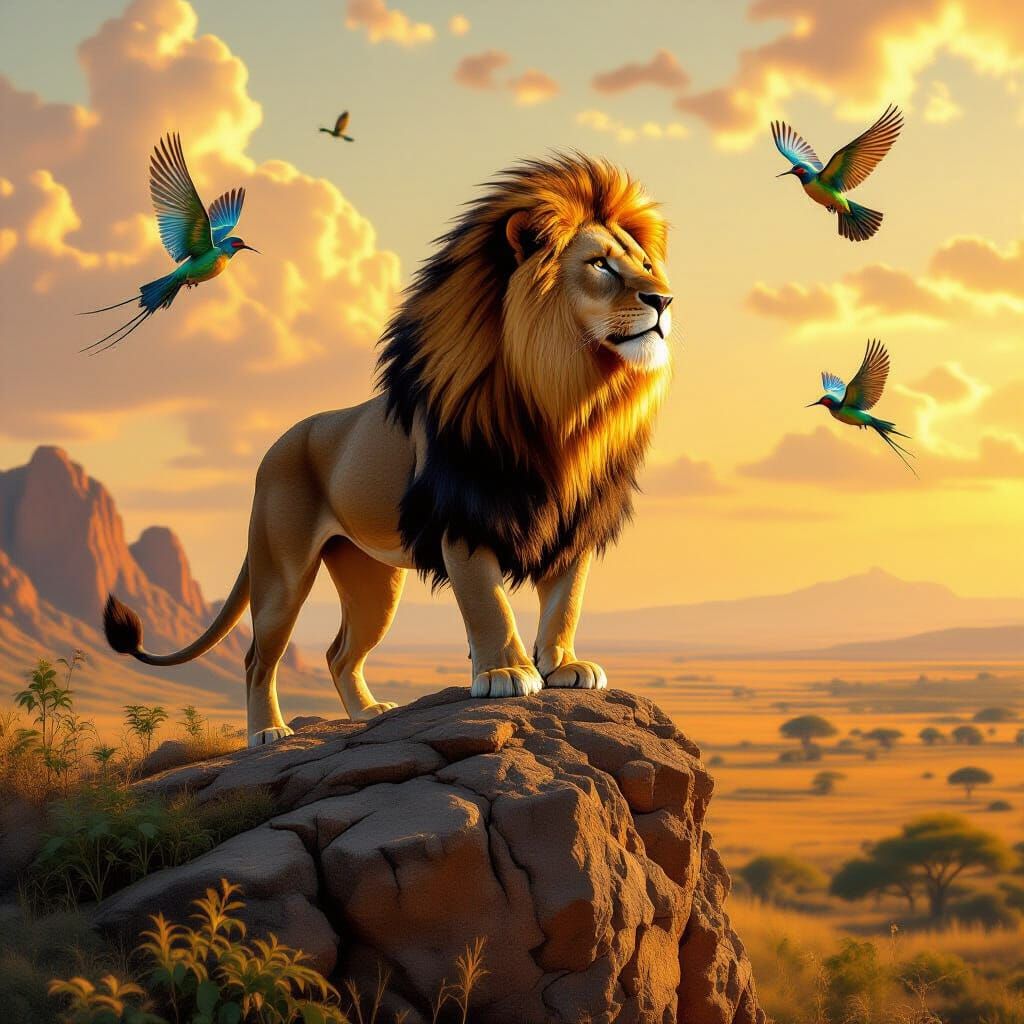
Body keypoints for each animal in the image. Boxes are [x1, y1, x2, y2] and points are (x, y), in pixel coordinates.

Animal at [104, 153, 675, 746]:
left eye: (644, 265)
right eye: (600, 265)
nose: (663, 299)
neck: (565, 406)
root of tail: (278, 443)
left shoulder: (574, 522)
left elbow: (566, 601)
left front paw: (563, 665)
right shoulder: (462, 517)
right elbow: (489, 603)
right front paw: (505, 672)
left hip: (371, 579)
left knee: (339, 653)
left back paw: (367, 713)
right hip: (282, 571)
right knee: (258, 657)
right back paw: (268, 733)